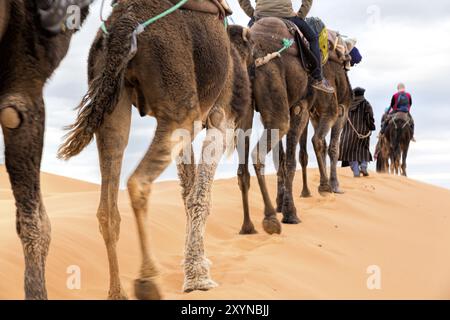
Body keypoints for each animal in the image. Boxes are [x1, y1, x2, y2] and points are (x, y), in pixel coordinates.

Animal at [58, 0, 251, 300]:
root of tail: (124, 24)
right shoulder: (222, 118)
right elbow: (201, 197)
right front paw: (199, 277)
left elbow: (188, 193)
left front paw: (193, 269)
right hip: (180, 103)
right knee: (137, 182)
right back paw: (147, 280)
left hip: (113, 100)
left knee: (108, 203)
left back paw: (118, 292)